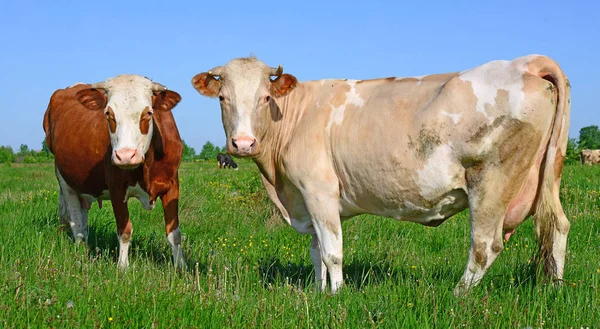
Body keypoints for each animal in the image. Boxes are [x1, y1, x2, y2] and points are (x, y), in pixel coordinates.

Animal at [43, 75, 185, 270]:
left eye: (148, 113)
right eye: (108, 113)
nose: (125, 155)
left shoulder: (172, 185)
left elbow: (174, 233)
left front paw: (181, 267)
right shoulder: (116, 187)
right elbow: (125, 231)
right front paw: (122, 267)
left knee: (82, 215)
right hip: (65, 179)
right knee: (75, 218)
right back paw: (81, 250)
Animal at [192, 55, 572, 294]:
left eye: (265, 97)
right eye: (223, 98)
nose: (242, 143)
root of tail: (522, 63)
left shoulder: (318, 191)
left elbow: (332, 252)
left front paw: (336, 296)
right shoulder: (307, 199)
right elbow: (316, 251)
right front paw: (316, 293)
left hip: (491, 182)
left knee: (484, 245)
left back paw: (457, 295)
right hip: (549, 175)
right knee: (557, 227)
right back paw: (553, 290)